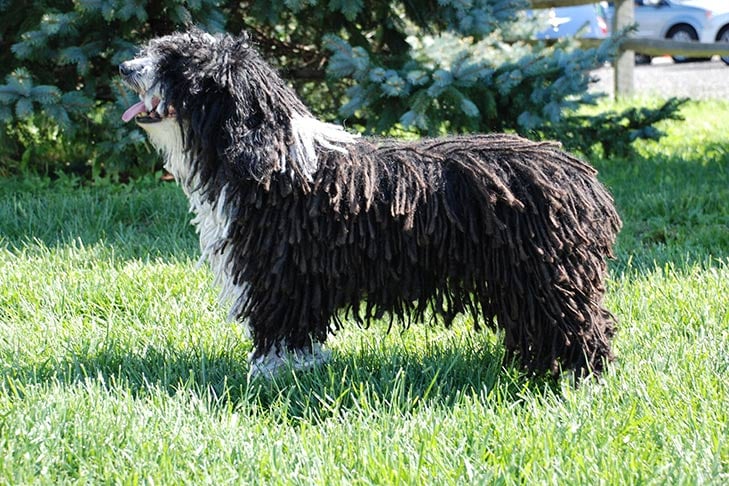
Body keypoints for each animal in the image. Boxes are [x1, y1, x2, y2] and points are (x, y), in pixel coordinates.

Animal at [119, 29, 620, 380]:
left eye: (177, 63)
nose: (125, 66)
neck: (269, 154)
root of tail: (579, 176)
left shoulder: (279, 268)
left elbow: (277, 320)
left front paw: (267, 372)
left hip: (547, 274)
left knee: (581, 323)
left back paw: (579, 377)